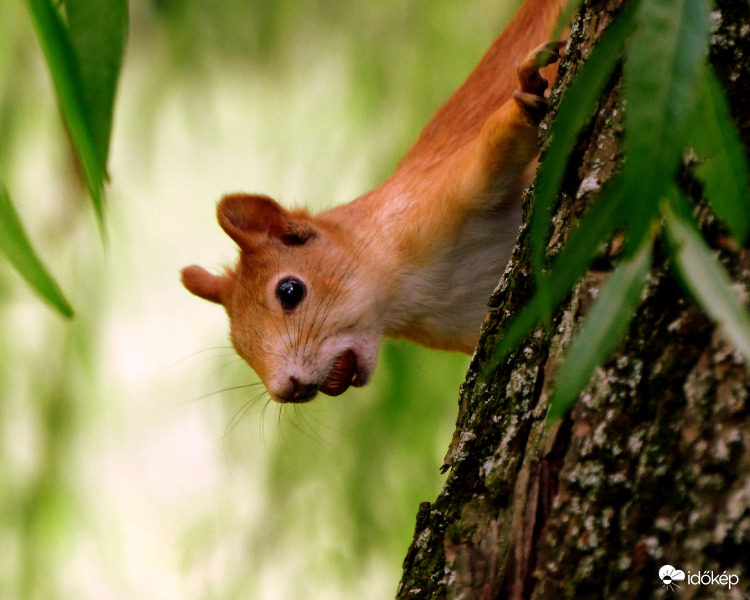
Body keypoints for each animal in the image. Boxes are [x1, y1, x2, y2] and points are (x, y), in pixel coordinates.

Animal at [184, 0, 568, 406]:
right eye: (238, 344)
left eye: (289, 291)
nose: (287, 390)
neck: (411, 293)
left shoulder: (449, 185)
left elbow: (499, 135)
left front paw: (526, 95)